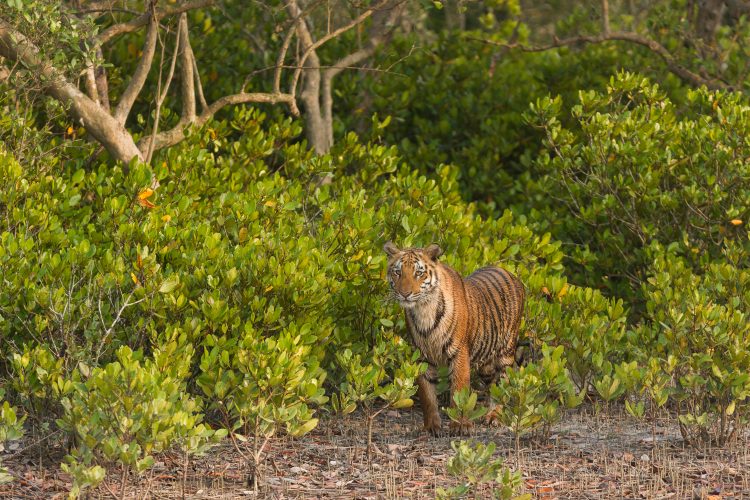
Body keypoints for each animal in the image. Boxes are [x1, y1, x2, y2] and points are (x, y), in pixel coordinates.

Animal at [384, 242, 524, 434]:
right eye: (398, 272)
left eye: (418, 273)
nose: (405, 294)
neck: (424, 310)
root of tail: (512, 275)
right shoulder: (422, 357)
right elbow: (427, 396)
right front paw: (431, 427)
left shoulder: (459, 353)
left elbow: (458, 390)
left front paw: (460, 426)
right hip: (486, 363)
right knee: (492, 385)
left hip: (506, 352)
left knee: (503, 384)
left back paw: (494, 416)